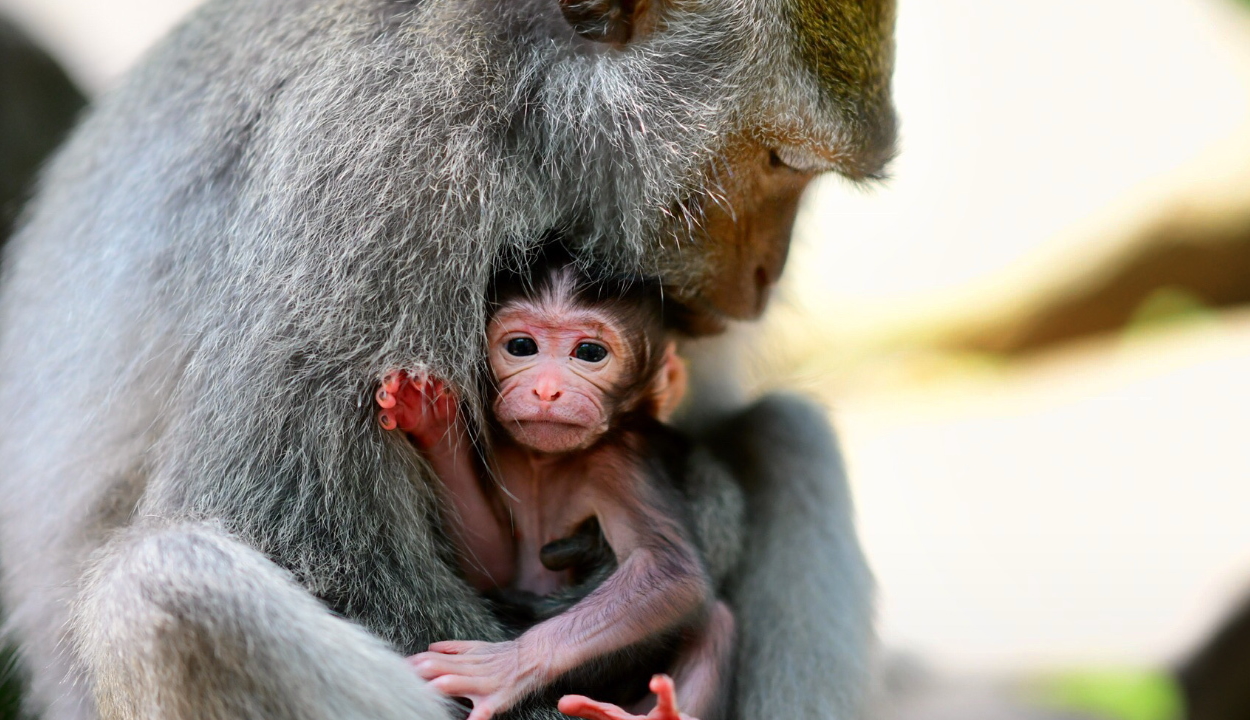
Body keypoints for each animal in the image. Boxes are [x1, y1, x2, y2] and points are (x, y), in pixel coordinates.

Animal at [375, 257, 735, 720]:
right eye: (521, 347)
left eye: (590, 353)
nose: (547, 390)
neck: (542, 462)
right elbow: (493, 564)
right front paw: (430, 416)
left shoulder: (616, 459)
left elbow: (671, 572)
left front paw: (504, 666)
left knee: (716, 619)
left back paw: (657, 714)